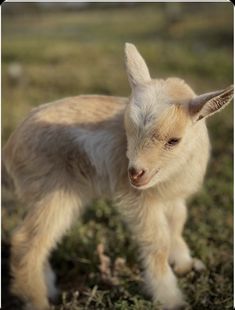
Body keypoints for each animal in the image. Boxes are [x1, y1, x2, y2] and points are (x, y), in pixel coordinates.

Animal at [3, 44, 233, 310]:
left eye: (174, 140)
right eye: (128, 129)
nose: (135, 172)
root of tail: (10, 148)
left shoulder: (172, 197)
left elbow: (177, 223)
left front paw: (184, 263)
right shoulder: (139, 198)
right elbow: (157, 241)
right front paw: (170, 298)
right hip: (55, 190)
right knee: (25, 241)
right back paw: (38, 300)